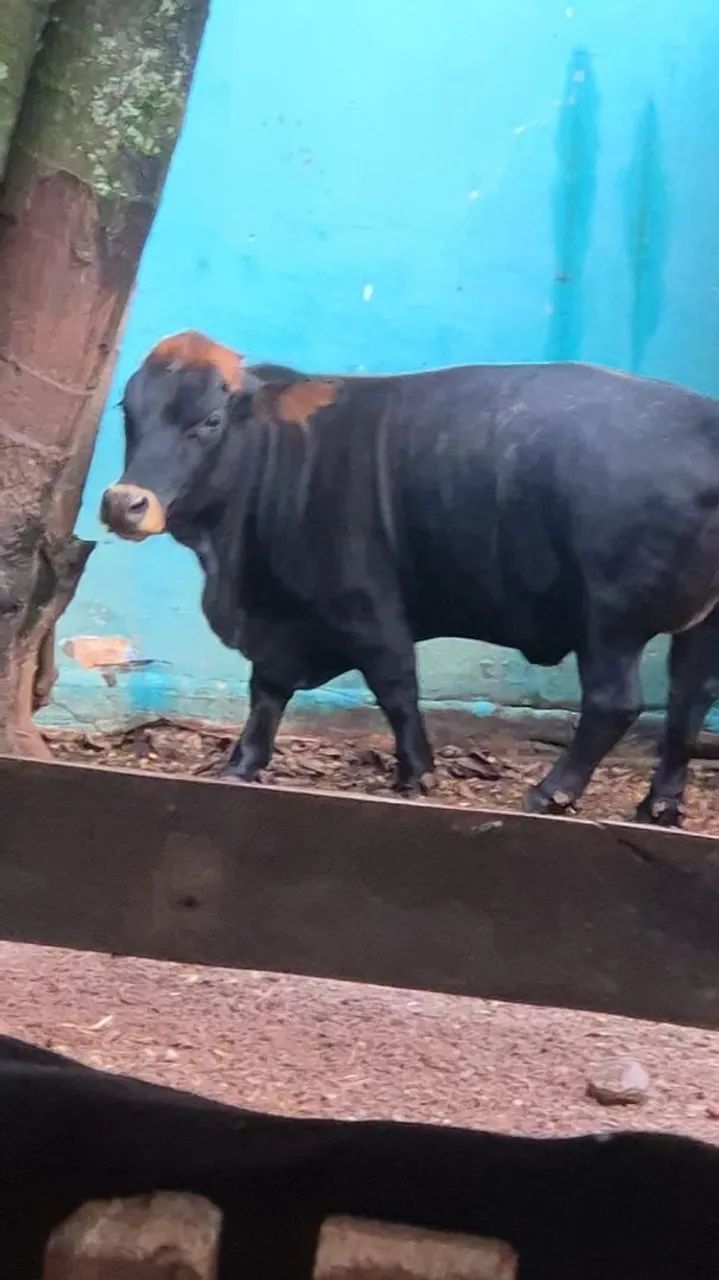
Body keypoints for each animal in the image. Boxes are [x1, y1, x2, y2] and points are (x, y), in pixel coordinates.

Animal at [100, 331, 719, 826]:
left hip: (611, 621)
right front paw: (242, 764)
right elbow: (267, 692)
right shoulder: (283, 620)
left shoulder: (366, 608)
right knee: (689, 699)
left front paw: (417, 774)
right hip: (696, 626)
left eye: (209, 420)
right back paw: (659, 804)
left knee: (615, 703)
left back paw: (551, 793)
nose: (124, 503)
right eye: (130, 412)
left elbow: (395, 688)